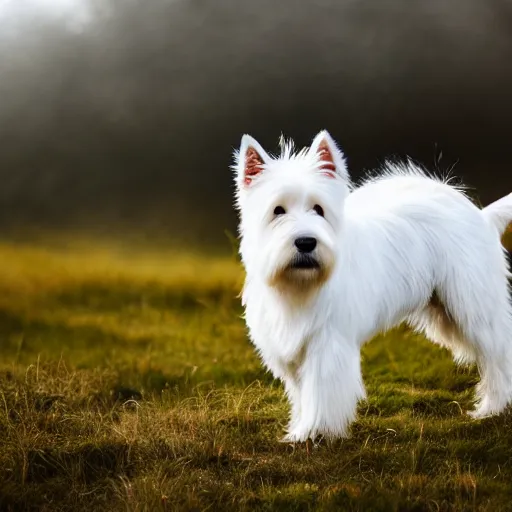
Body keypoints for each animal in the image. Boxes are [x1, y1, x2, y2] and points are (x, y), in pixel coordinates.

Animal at [232, 130, 512, 442]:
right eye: (277, 210)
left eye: (319, 209)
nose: (306, 242)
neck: (300, 285)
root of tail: (482, 216)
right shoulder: (292, 347)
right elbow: (302, 394)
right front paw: (300, 430)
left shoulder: (328, 344)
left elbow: (321, 392)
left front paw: (316, 432)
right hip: (447, 314)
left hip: (475, 308)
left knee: (499, 355)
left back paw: (491, 408)